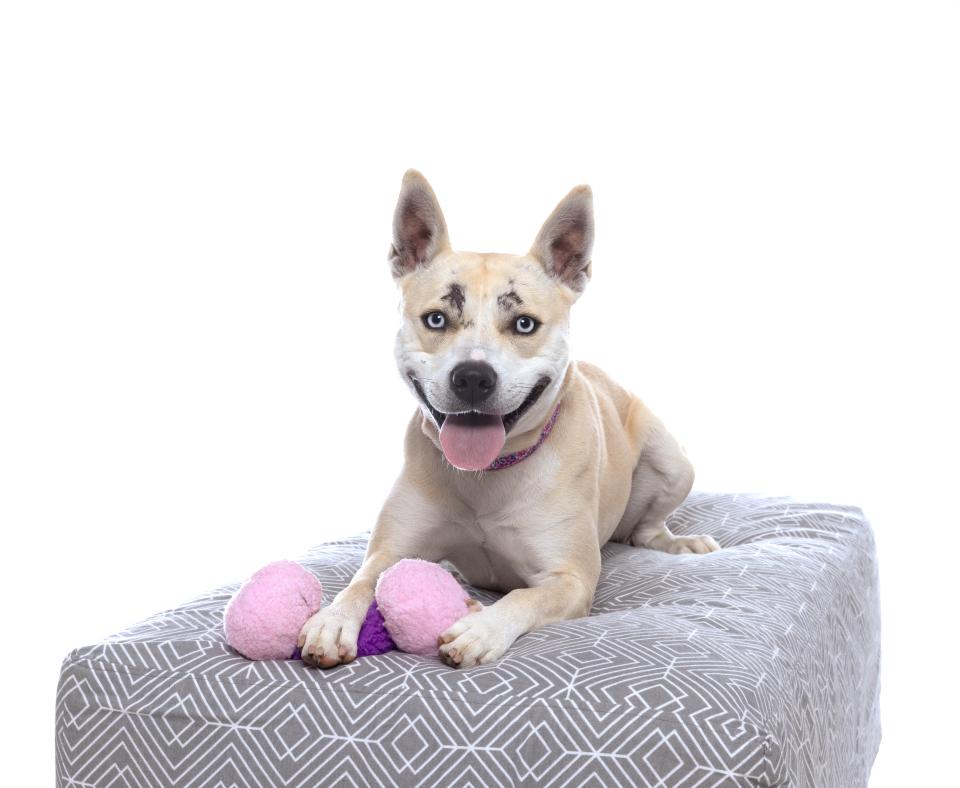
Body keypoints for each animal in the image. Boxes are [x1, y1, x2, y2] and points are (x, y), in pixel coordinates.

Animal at [300, 169, 720, 668]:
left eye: (524, 324)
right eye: (436, 319)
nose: (473, 377)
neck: (487, 476)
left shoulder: (569, 580)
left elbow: (524, 596)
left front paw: (481, 628)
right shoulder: (390, 550)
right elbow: (362, 580)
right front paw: (332, 620)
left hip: (672, 463)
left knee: (646, 530)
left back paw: (679, 543)